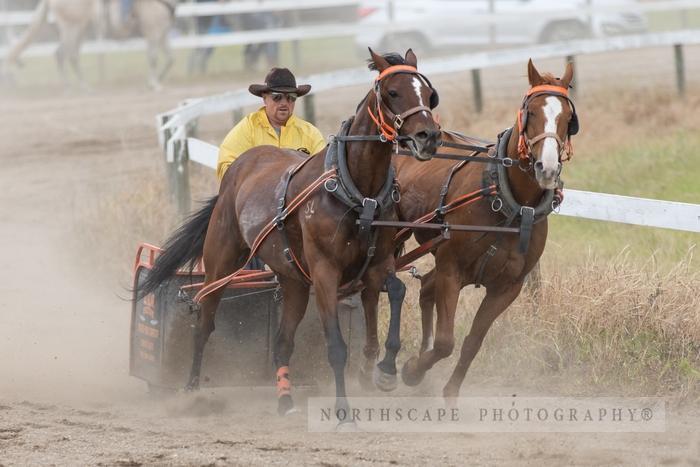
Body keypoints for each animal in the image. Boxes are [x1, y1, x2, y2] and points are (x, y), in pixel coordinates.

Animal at [137, 49, 440, 418]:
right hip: (221, 261)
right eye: (393, 92)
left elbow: (395, 291)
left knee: (283, 342)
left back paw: (284, 398)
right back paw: (193, 388)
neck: (355, 190)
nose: (428, 136)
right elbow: (336, 346)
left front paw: (383, 370)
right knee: (205, 319)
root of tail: (240, 168)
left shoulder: (378, 260)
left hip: (292, 280)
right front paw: (343, 410)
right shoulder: (325, 271)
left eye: (429, 95)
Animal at [392, 60, 576, 400]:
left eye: (569, 118)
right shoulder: (452, 270)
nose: (547, 168)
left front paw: (448, 389)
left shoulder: (507, 288)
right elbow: (445, 342)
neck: (507, 204)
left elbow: (472, 343)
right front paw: (412, 370)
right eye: (531, 112)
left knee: (426, 287)